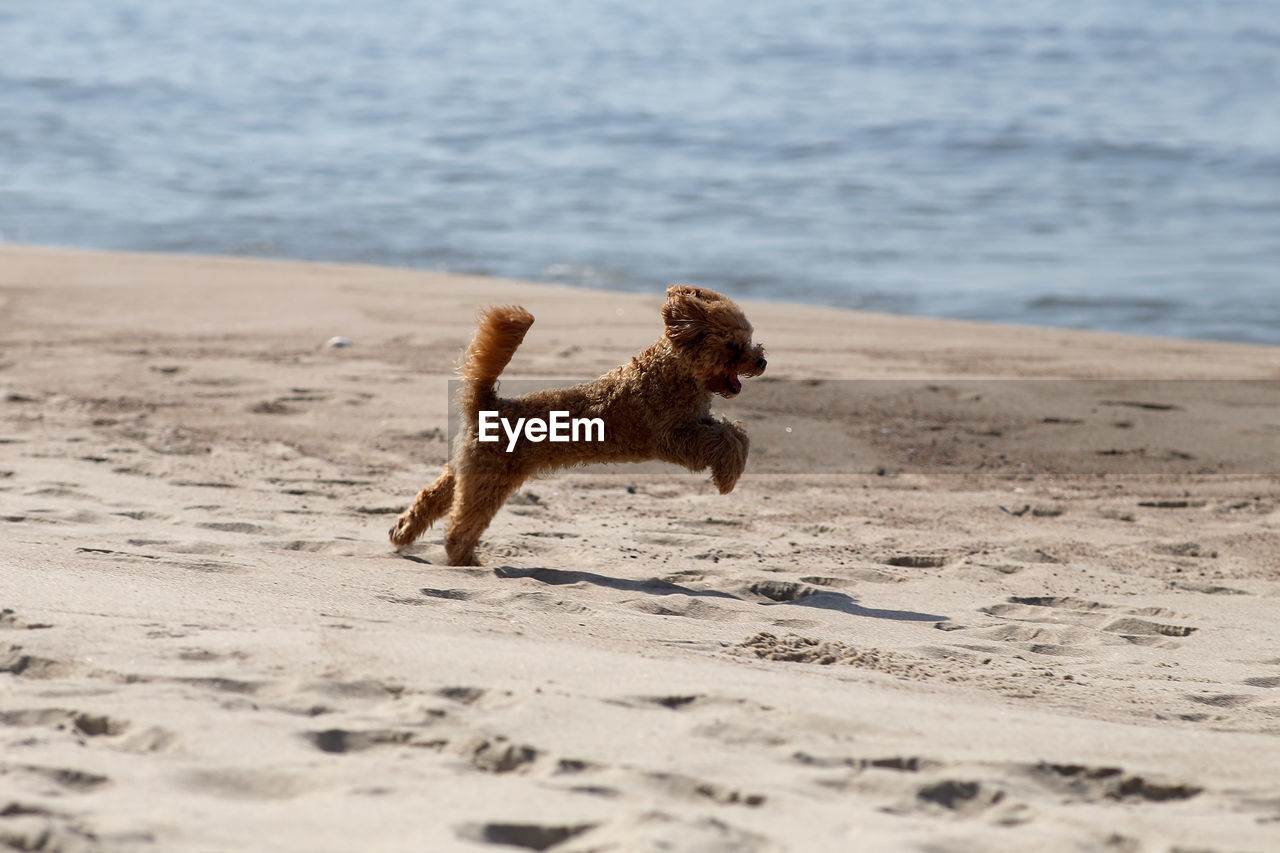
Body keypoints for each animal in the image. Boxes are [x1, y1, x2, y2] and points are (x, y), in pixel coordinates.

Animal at [389, 285, 762, 563]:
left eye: (749, 337)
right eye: (733, 344)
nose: (762, 361)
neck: (671, 370)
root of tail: (488, 403)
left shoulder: (699, 422)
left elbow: (737, 433)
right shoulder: (674, 437)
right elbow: (724, 441)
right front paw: (727, 479)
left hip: (468, 468)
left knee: (433, 497)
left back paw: (403, 531)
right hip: (489, 481)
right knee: (461, 526)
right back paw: (463, 558)